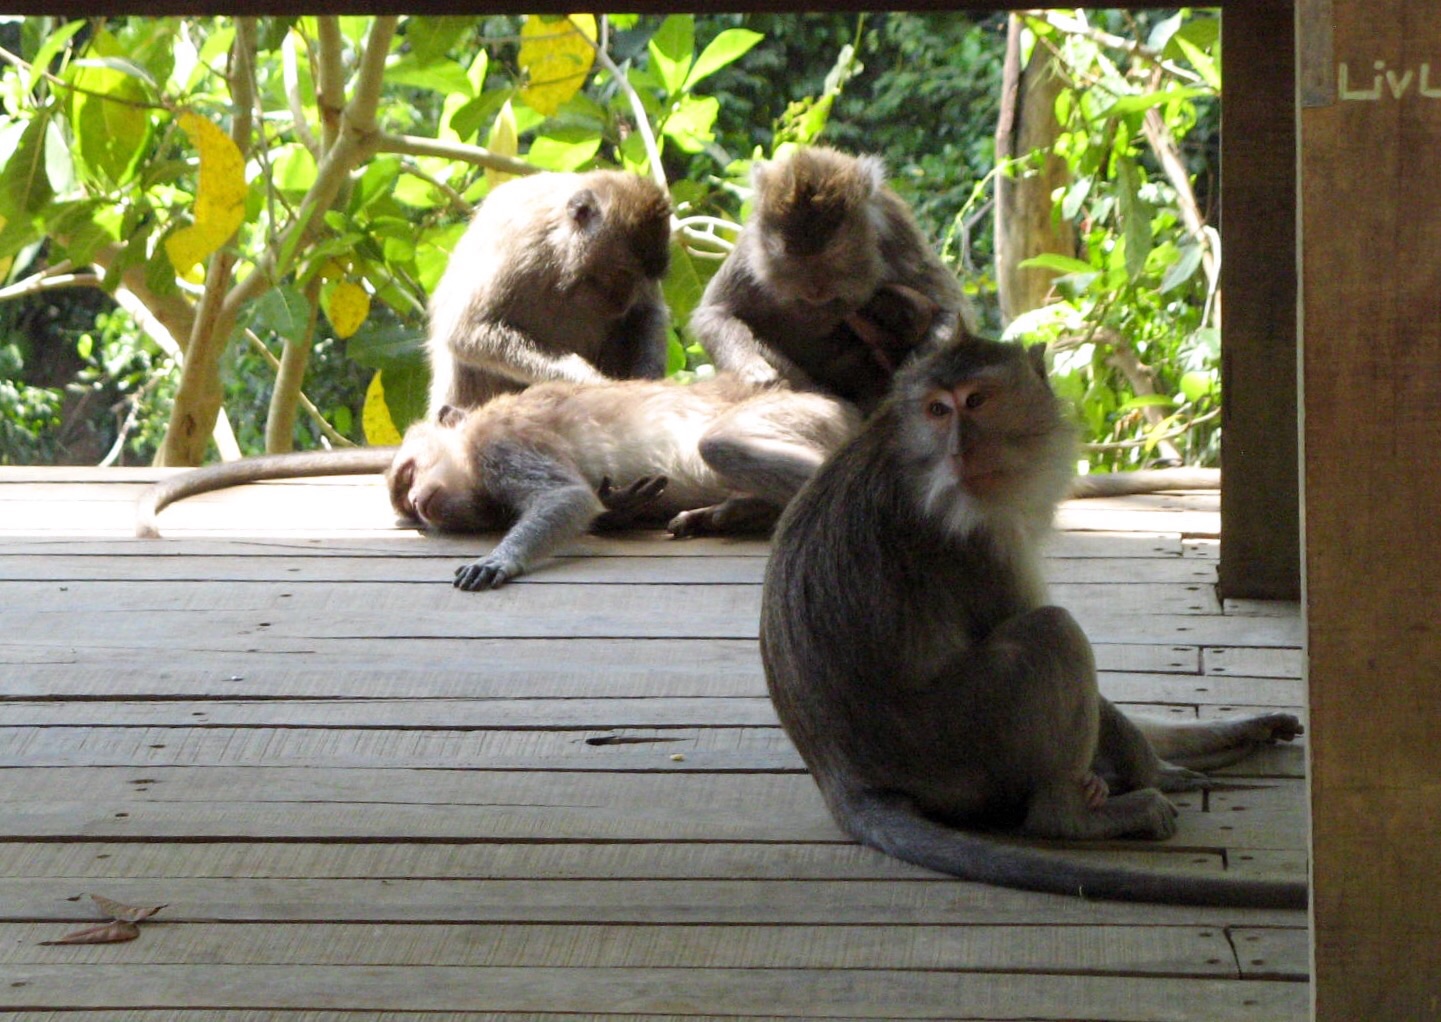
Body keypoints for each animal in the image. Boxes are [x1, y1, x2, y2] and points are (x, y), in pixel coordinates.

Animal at [385, 375, 860, 590]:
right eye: (408, 506)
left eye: (408, 475)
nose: (415, 500)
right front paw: (620, 506)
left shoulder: (500, 443)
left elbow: (568, 497)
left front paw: (501, 560)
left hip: (801, 415)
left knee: (721, 445)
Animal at [427, 168, 673, 412]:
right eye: (621, 273)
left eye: (644, 279)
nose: (623, 302)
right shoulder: (521, 243)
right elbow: (466, 331)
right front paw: (594, 384)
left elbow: (649, 312)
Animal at [689, 146, 971, 415]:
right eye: (792, 260)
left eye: (833, 255)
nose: (815, 291)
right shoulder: (750, 245)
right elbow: (714, 313)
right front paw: (752, 368)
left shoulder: (897, 232)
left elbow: (953, 313)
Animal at [759, 333, 1306, 908]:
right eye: (938, 410)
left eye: (975, 401)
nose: (959, 450)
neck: (908, 446)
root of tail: (841, 778)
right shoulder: (976, 534)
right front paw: (1151, 768)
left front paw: (1233, 730)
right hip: (951, 743)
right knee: (1053, 633)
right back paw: (1073, 816)